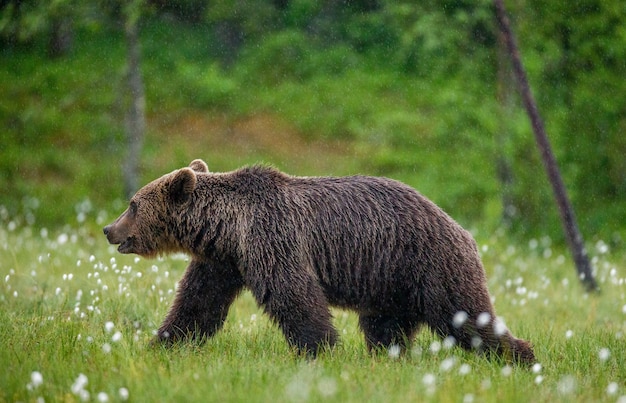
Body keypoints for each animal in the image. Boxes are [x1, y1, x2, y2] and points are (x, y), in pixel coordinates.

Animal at [102, 159, 532, 364]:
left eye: (132, 204)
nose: (109, 229)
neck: (226, 229)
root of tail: (463, 229)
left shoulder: (271, 237)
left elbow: (294, 295)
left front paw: (319, 349)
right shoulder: (224, 262)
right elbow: (197, 304)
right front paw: (161, 342)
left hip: (430, 264)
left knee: (464, 317)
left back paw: (519, 356)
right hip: (389, 283)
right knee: (386, 326)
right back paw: (387, 358)